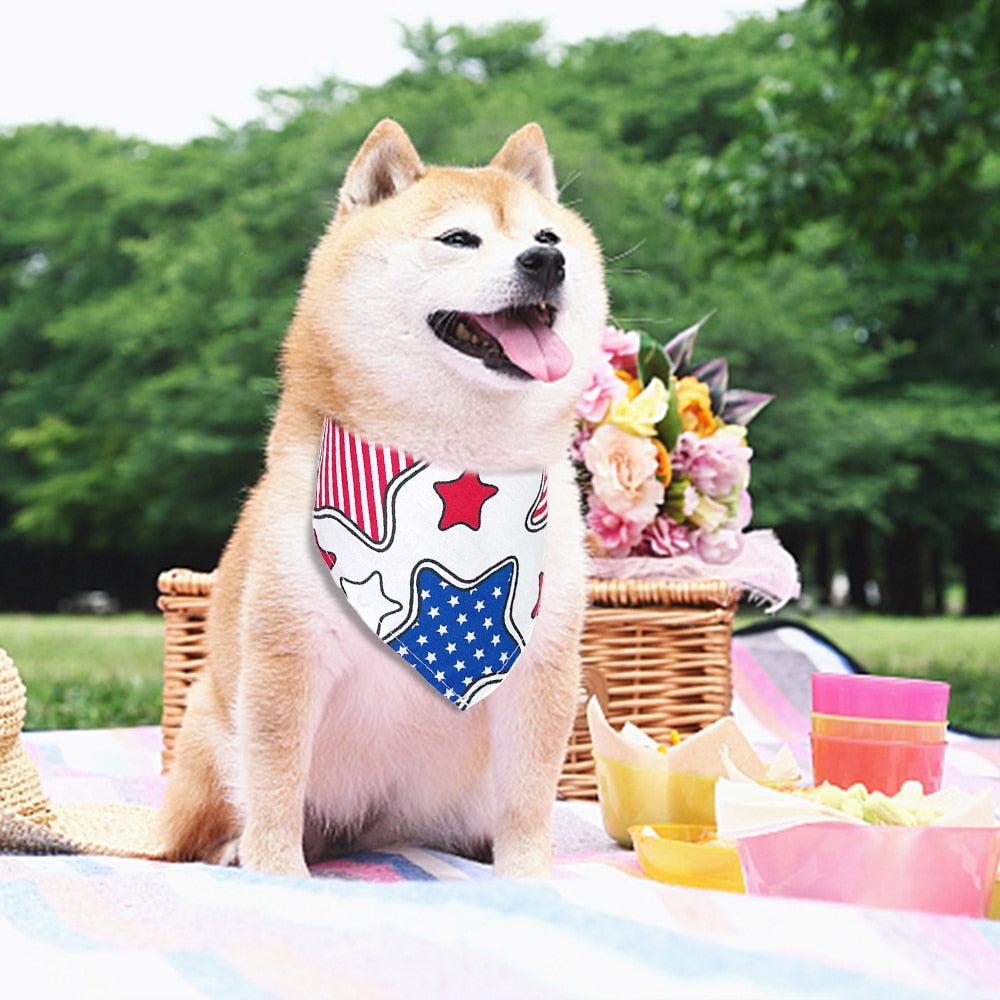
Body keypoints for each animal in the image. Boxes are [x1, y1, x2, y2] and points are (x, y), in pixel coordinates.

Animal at [160, 121, 604, 880]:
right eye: (458, 238)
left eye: (549, 235)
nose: (547, 261)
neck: (459, 463)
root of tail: (372, 830)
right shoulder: (286, 654)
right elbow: (275, 782)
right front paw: (276, 873)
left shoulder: (541, 662)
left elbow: (529, 798)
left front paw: (527, 878)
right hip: (207, 735)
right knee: (205, 829)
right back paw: (231, 851)